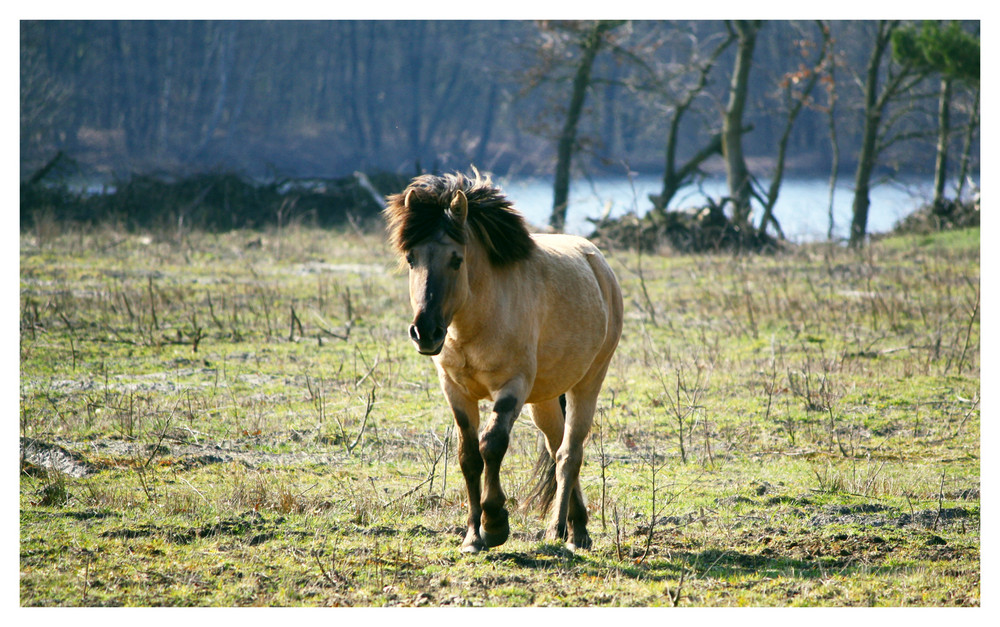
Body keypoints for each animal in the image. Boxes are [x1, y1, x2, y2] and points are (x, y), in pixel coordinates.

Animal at [386, 172, 620, 556]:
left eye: (456, 259)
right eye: (410, 258)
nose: (425, 332)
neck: (475, 320)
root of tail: (596, 262)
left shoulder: (512, 387)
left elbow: (492, 445)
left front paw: (495, 524)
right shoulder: (456, 391)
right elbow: (469, 456)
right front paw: (472, 537)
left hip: (587, 383)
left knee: (570, 454)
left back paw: (559, 532)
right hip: (544, 399)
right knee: (557, 448)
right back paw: (579, 527)